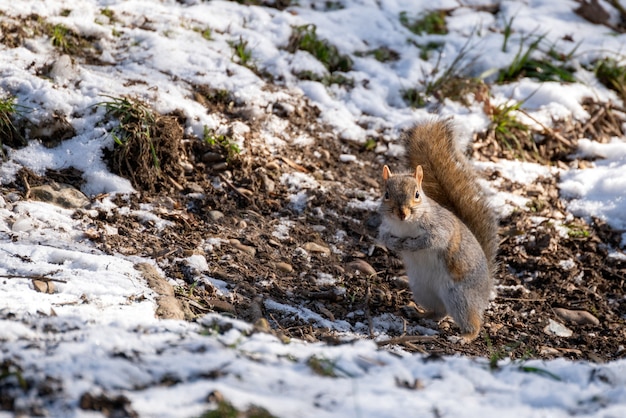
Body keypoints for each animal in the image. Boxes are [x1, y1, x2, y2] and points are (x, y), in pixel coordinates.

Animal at [376, 118, 498, 342]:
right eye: (386, 194)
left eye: (417, 194)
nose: (402, 213)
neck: (405, 225)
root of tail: (486, 288)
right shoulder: (385, 227)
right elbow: (385, 238)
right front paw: (397, 243)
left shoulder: (441, 227)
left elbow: (432, 240)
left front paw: (411, 244)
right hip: (423, 290)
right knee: (439, 312)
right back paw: (418, 313)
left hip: (460, 297)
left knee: (472, 322)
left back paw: (464, 337)